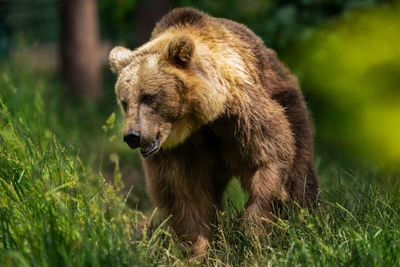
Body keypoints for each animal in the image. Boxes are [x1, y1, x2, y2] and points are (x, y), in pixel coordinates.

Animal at [108, 7, 318, 258]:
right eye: (124, 102)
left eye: (148, 97)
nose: (133, 136)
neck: (200, 118)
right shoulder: (180, 149)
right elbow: (183, 193)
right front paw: (198, 248)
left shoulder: (240, 115)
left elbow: (269, 156)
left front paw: (250, 231)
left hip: (286, 100)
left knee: (300, 169)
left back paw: (309, 218)